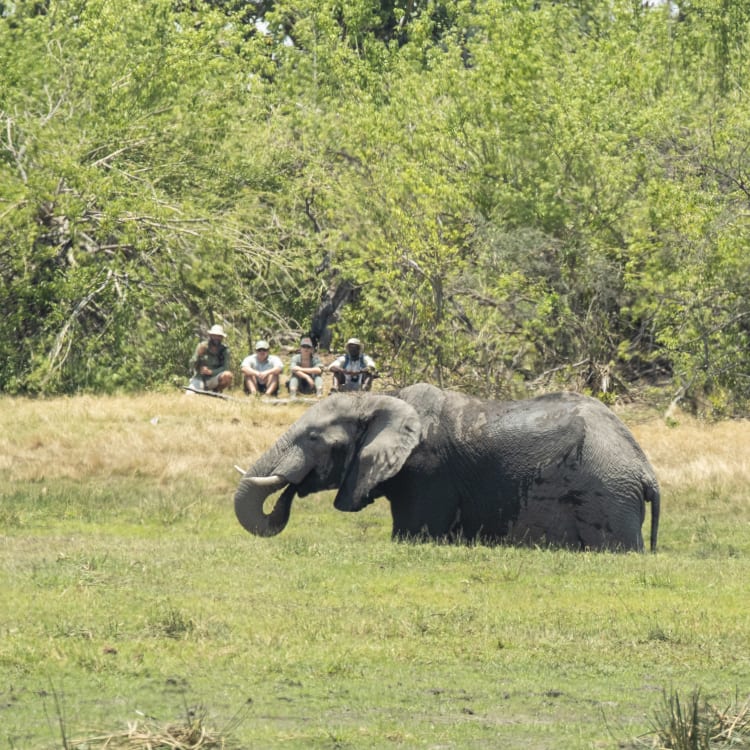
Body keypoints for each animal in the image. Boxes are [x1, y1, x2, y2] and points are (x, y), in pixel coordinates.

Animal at [234, 384, 656, 548]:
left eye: (314, 438)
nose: (291, 488)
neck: (382, 400)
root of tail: (645, 470)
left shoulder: (428, 473)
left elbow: (412, 534)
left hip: (607, 495)